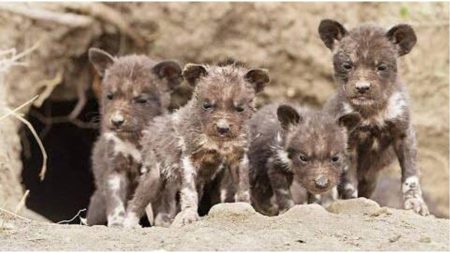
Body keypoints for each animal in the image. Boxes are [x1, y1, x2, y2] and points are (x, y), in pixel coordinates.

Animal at [85, 48, 182, 226]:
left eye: (141, 100)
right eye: (110, 96)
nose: (117, 121)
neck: (136, 140)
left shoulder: (157, 171)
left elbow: (159, 203)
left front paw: (163, 223)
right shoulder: (115, 168)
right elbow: (116, 202)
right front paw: (117, 223)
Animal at [123, 61, 268, 227]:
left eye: (240, 108)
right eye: (206, 105)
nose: (222, 128)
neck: (217, 141)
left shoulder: (238, 158)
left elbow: (243, 188)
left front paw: (246, 209)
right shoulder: (188, 158)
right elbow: (189, 193)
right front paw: (189, 216)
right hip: (154, 174)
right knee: (136, 202)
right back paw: (129, 225)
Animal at [318, 19, 430, 215]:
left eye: (381, 67)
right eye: (348, 65)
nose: (362, 88)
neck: (372, 112)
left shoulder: (404, 134)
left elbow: (411, 176)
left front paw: (416, 203)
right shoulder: (350, 143)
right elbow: (349, 183)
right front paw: (353, 204)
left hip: (371, 179)